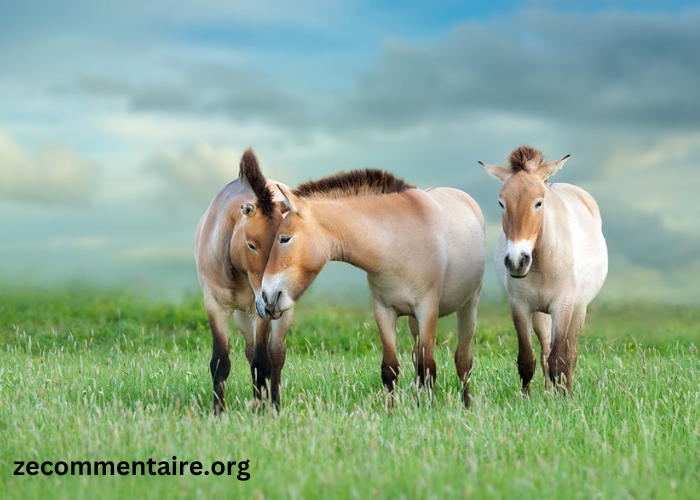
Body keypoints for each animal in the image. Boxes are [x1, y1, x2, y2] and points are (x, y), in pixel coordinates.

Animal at [194, 146, 292, 412]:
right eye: (252, 245)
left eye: (284, 241)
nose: (270, 301)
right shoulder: (215, 306)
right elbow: (221, 362)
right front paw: (218, 412)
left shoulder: (259, 311)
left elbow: (262, 364)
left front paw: (261, 411)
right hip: (242, 314)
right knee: (250, 353)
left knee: (276, 355)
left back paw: (275, 405)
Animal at [476, 146, 608, 392]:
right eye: (501, 203)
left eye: (538, 203)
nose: (517, 261)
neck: (542, 264)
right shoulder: (520, 307)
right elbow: (528, 360)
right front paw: (527, 398)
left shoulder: (563, 306)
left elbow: (561, 360)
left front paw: (565, 397)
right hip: (540, 314)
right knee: (546, 350)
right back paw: (548, 392)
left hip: (578, 309)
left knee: (570, 353)